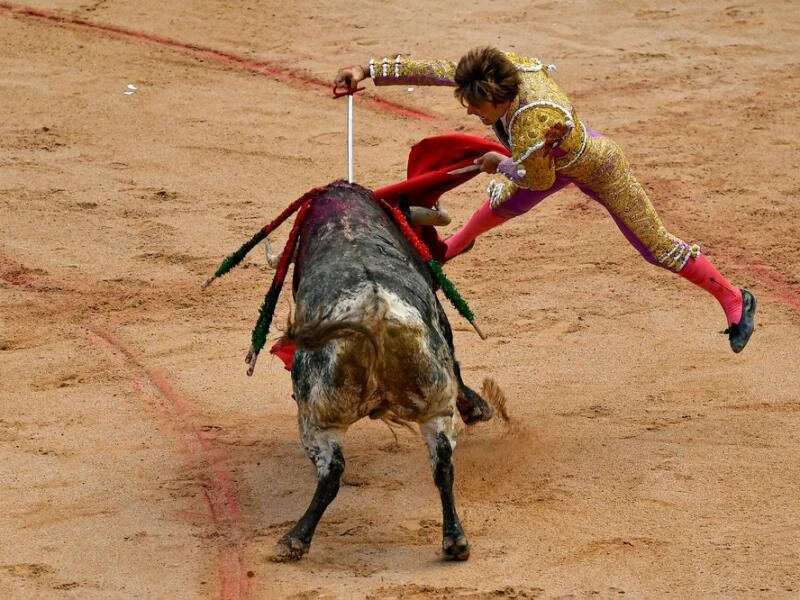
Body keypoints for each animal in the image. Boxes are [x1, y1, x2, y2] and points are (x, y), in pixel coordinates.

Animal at [272, 182, 490, 564]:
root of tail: (373, 314)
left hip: (318, 417)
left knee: (331, 473)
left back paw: (295, 539)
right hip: (433, 405)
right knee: (442, 462)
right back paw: (455, 541)